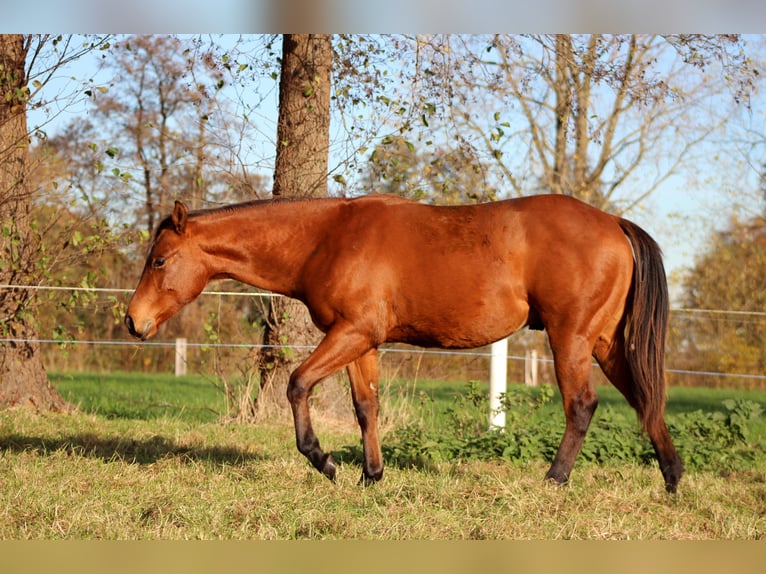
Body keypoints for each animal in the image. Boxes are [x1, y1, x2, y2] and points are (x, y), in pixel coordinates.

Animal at [125, 193, 684, 493]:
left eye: (159, 260)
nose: (133, 321)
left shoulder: (351, 332)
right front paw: (371, 476)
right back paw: (673, 477)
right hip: (606, 345)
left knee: (582, 406)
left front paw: (324, 461)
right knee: (645, 401)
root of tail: (613, 223)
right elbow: (366, 407)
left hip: (572, 339)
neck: (326, 237)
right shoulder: (362, 342)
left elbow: (298, 384)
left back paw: (555, 479)